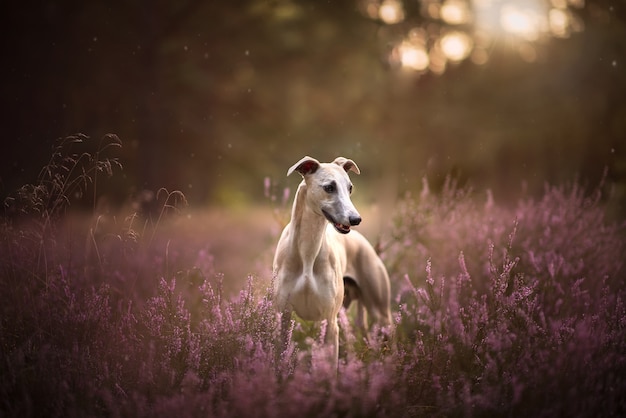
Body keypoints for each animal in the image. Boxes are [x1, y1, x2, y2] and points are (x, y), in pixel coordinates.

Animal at [272, 156, 390, 370]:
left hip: (381, 315)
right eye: (329, 187)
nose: (356, 219)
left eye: (350, 188)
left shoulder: (329, 321)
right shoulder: (282, 318)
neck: (307, 250)